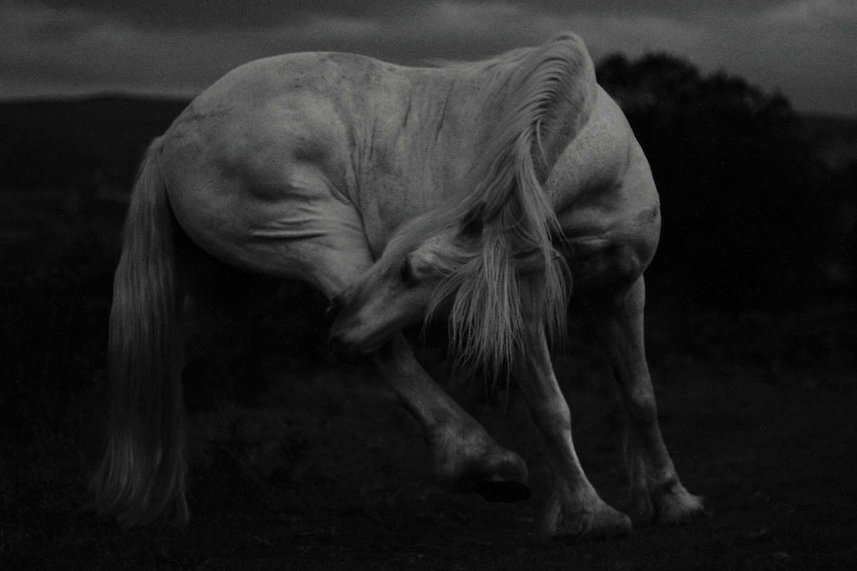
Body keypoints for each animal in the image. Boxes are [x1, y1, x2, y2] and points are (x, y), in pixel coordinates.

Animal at [91, 32, 705, 539]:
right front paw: (588, 514)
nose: (336, 330)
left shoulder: (623, 287)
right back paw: (485, 462)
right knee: (385, 350)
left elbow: (640, 394)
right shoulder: (519, 304)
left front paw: (673, 501)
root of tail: (171, 137)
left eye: (413, 270)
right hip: (316, 240)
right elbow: (551, 405)